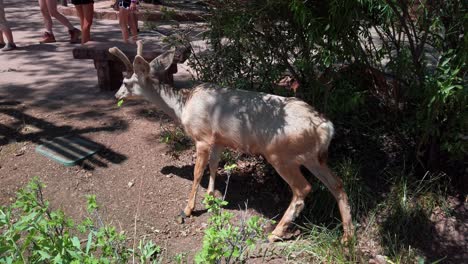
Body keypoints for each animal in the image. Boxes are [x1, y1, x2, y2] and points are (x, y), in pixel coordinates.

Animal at [108, 41, 352, 243]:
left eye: (126, 82)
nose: (116, 95)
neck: (182, 106)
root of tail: (326, 127)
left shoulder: (202, 137)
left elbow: (197, 172)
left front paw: (188, 209)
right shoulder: (217, 139)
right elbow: (215, 165)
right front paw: (210, 198)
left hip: (281, 154)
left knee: (303, 189)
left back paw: (274, 233)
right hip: (313, 158)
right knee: (338, 184)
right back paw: (347, 238)